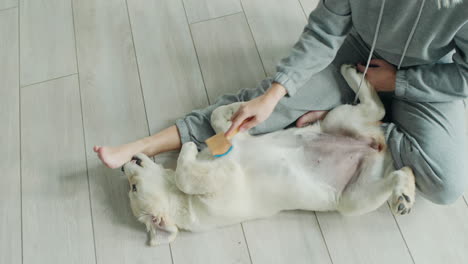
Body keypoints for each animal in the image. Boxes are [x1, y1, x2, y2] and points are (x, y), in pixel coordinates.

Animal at [121, 65, 416, 246]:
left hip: (337, 120)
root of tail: (377, 148)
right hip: (354, 198)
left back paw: (353, 72)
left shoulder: (234, 140)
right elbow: (187, 176)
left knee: (377, 110)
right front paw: (188, 149)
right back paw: (404, 194)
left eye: (132, 187)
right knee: (395, 168)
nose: (124, 166)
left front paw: (243, 108)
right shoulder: (221, 183)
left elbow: (218, 115)